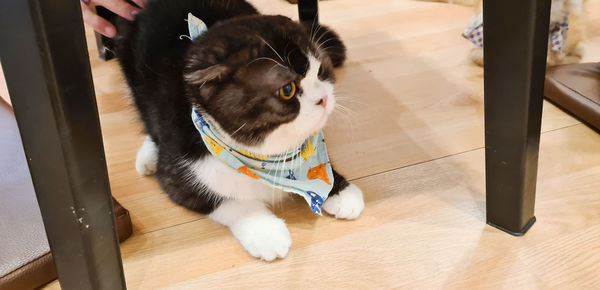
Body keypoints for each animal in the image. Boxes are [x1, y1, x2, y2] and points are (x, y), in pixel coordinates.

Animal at [114, 0, 364, 260]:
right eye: (288, 90)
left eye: (321, 71)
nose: (323, 99)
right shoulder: (178, 173)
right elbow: (224, 200)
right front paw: (266, 232)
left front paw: (340, 191)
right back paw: (148, 156)